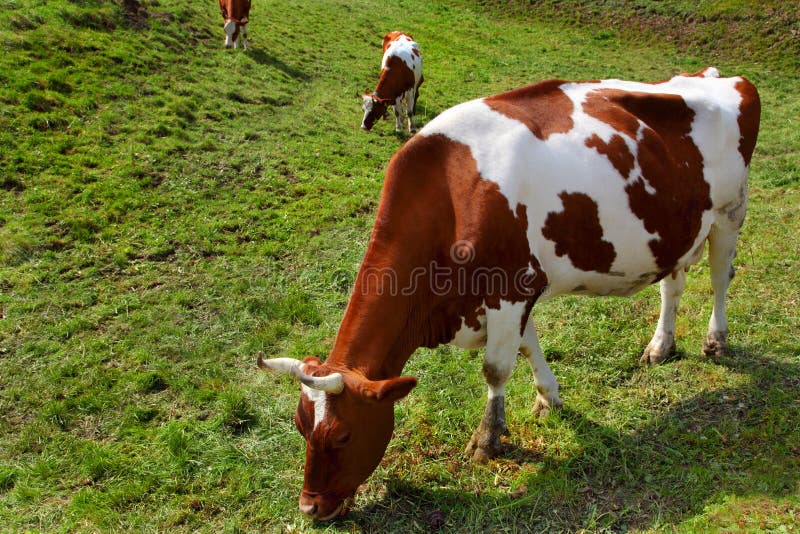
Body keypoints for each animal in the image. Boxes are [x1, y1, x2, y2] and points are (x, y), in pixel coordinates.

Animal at [260, 66, 760, 520]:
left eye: (342, 435)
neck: (451, 193)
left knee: (720, 278)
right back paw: (661, 346)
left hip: (730, 212)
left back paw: (715, 340)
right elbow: (528, 347)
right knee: (672, 287)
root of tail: (722, 77)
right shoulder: (514, 288)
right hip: (677, 232)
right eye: (300, 427)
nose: (309, 508)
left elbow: (496, 369)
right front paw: (549, 397)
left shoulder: (510, 288)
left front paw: (487, 439)